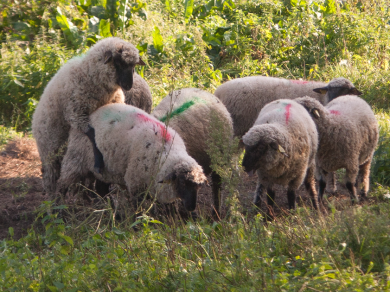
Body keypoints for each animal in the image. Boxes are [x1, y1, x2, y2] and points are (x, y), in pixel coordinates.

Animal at [56, 102, 207, 210]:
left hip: (105, 168)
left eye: (198, 186)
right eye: (182, 183)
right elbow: (138, 207)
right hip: (76, 159)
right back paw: (57, 208)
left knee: (101, 189)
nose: (191, 207)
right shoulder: (135, 182)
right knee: (62, 184)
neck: (167, 153)